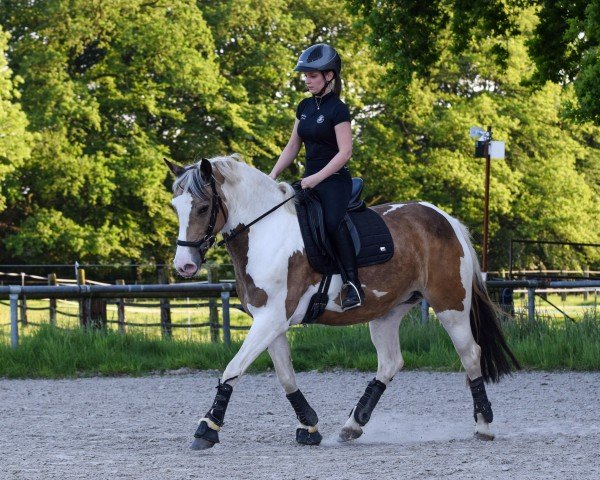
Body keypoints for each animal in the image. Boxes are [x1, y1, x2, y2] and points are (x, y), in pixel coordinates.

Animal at [165, 155, 520, 450]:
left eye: (202, 207)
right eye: (175, 207)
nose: (184, 265)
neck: (266, 232)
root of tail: (446, 219)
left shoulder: (271, 320)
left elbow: (233, 369)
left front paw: (207, 428)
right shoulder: (269, 321)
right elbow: (285, 377)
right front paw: (309, 427)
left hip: (450, 306)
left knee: (470, 355)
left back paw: (484, 426)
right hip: (387, 312)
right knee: (390, 363)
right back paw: (353, 425)